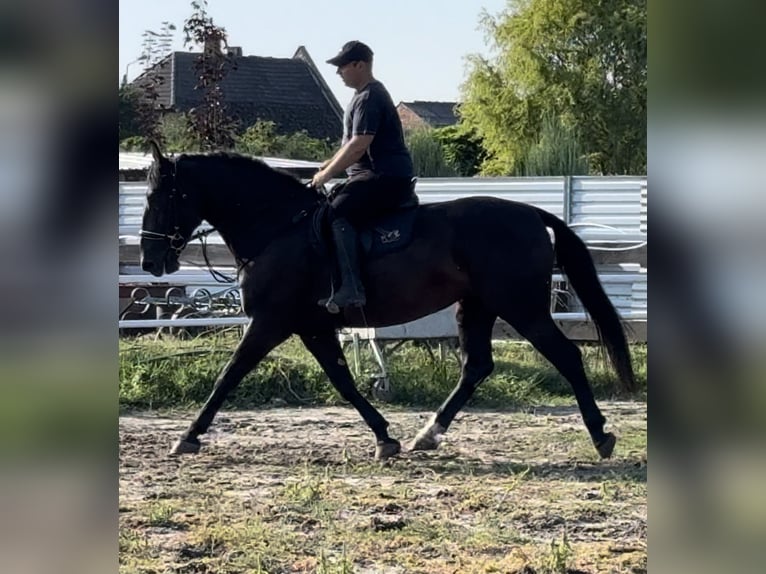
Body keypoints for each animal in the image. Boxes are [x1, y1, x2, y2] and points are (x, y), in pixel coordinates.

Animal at [140, 144, 636, 464]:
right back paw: (428, 435)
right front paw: (384, 437)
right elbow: (342, 380)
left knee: (566, 356)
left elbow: (229, 375)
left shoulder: (271, 321)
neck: (279, 229)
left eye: (159, 197)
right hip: (476, 307)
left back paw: (600, 435)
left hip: (522, 307)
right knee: (476, 367)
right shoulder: (313, 326)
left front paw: (188, 436)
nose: (149, 260)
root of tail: (531, 212)